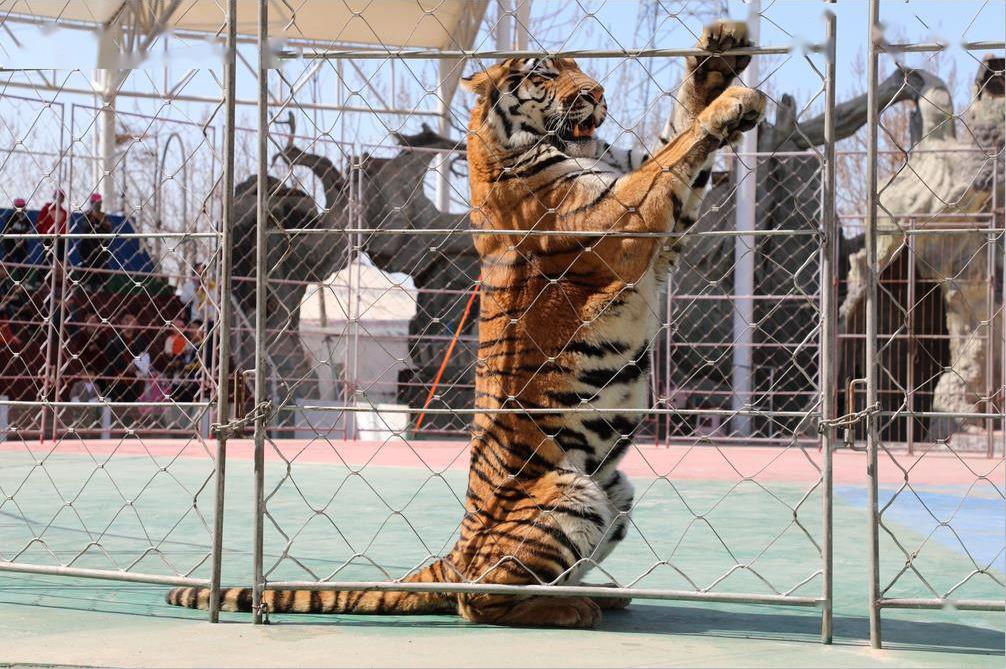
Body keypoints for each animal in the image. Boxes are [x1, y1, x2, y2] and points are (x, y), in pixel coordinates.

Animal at [166, 19, 760, 627]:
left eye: (578, 68)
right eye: (546, 74)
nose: (595, 92)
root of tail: (454, 553)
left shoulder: (662, 236)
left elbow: (674, 137)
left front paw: (717, 57)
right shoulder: (618, 221)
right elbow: (669, 157)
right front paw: (731, 101)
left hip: (613, 489)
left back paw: (596, 593)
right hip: (572, 492)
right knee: (478, 602)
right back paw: (576, 607)